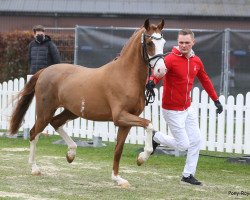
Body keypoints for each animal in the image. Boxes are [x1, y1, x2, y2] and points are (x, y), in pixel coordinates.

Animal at [8, 19, 167, 188]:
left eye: (163, 42)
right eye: (149, 43)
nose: (161, 70)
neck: (125, 75)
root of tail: (44, 71)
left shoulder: (126, 122)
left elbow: (119, 149)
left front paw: (117, 178)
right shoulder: (120, 117)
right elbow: (149, 124)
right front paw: (142, 158)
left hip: (71, 111)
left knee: (56, 122)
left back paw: (71, 153)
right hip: (45, 111)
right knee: (34, 133)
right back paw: (35, 168)